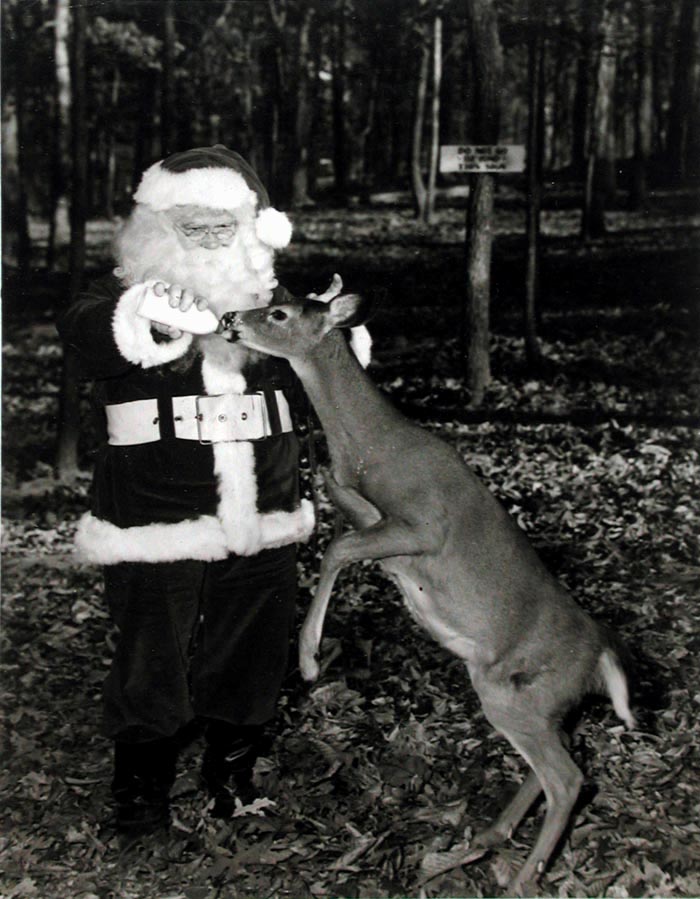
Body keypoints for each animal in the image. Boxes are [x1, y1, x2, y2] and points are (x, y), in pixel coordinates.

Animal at [218, 278, 635, 896]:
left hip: (517, 692)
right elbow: (338, 523)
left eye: (279, 312)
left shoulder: (424, 526)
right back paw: (485, 839)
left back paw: (519, 878)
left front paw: (311, 659)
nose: (228, 318)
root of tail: (600, 655)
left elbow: (338, 550)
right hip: (541, 703)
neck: (373, 447)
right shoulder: (368, 515)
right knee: (556, 766)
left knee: (567, 779)